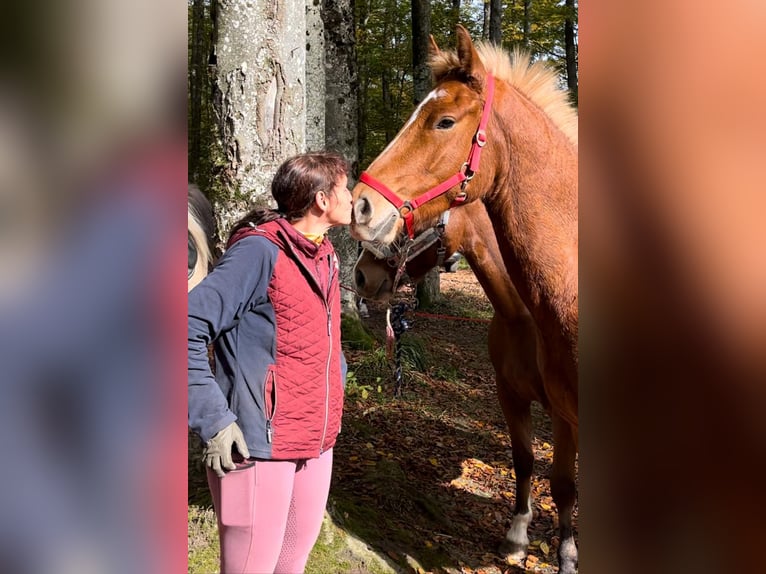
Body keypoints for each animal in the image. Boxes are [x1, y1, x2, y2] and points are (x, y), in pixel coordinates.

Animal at [356, 201, 580, 572]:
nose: (361, 275)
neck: (524, 314)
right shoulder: (510, 394)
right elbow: (524, 460)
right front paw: (516, 539)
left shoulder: (562, 415)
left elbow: (563, 485)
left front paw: (567, 558)